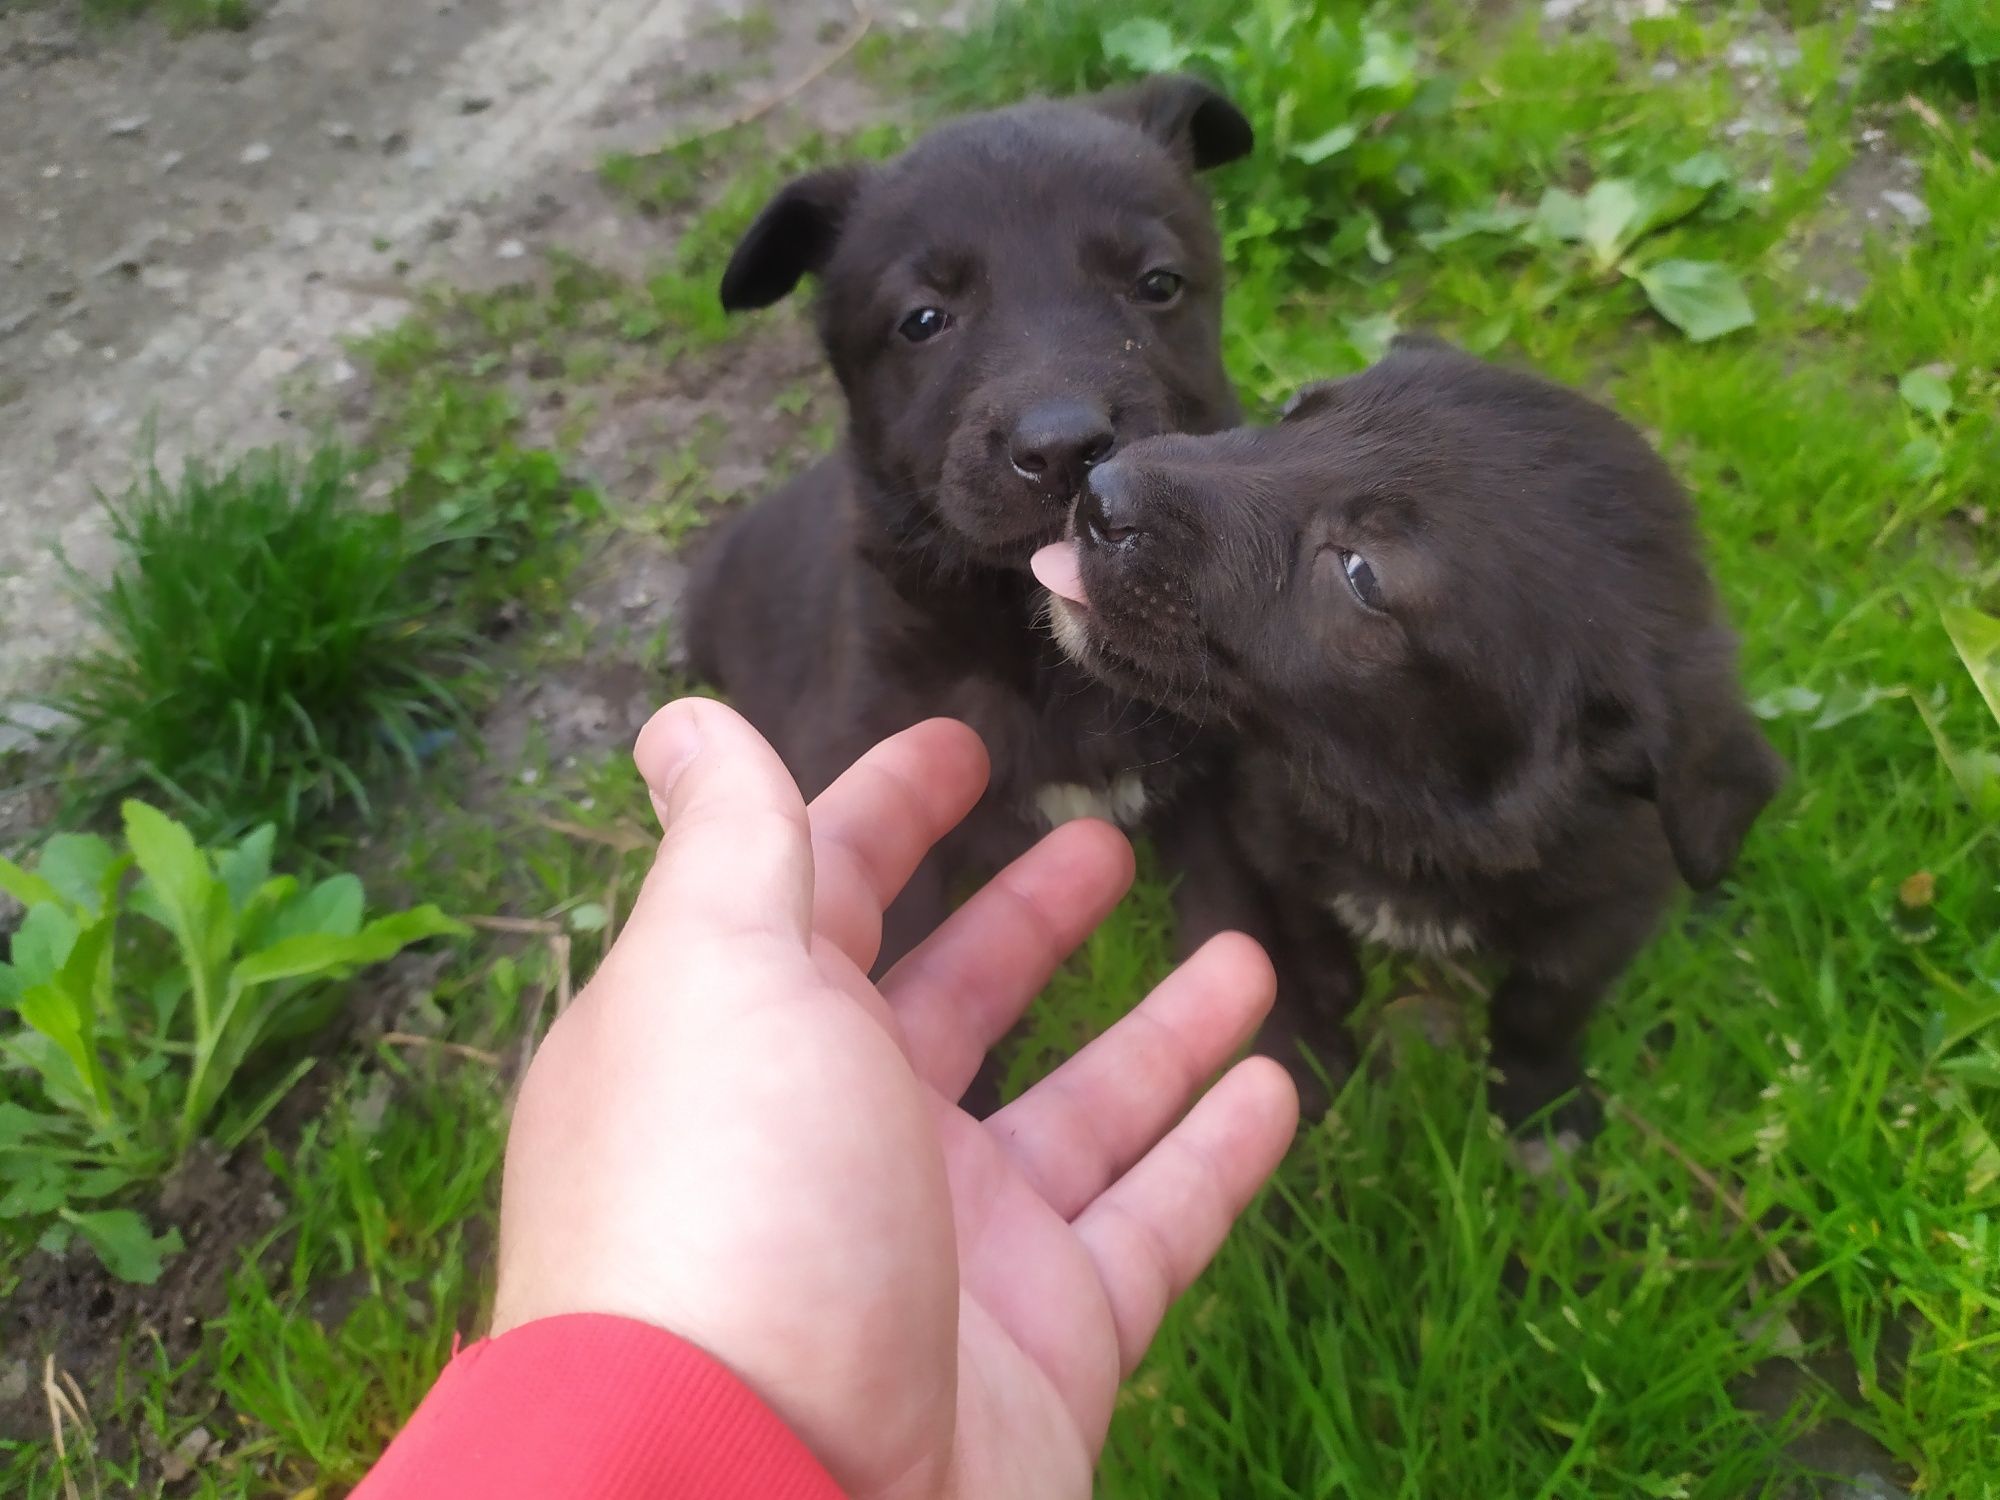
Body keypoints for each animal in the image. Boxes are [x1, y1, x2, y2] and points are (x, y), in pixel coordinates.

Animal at [1040, 332, 1792, 1128]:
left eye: (1363, 575)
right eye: (1295, 411)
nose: (1099, 490)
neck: (1403, 816)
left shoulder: (1602, 916)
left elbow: (1540, 1009)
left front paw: (1539, 1102)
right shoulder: (1267, 827)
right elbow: (1305, 922)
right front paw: (1328, 1001)